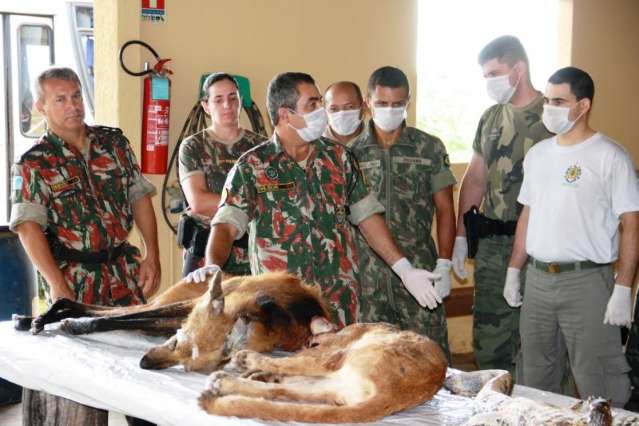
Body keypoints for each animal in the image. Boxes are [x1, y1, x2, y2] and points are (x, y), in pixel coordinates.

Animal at [198, 320, 448, 422]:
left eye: (311, 342)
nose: (306, 346)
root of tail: (392, 396)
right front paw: (260, 374)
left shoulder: (328, 348)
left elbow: (288, 363)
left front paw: (256, 369)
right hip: (330, 385)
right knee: (280, 392)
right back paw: (224, 382)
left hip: (334, 358)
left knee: (289, 369)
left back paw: (242, 361)